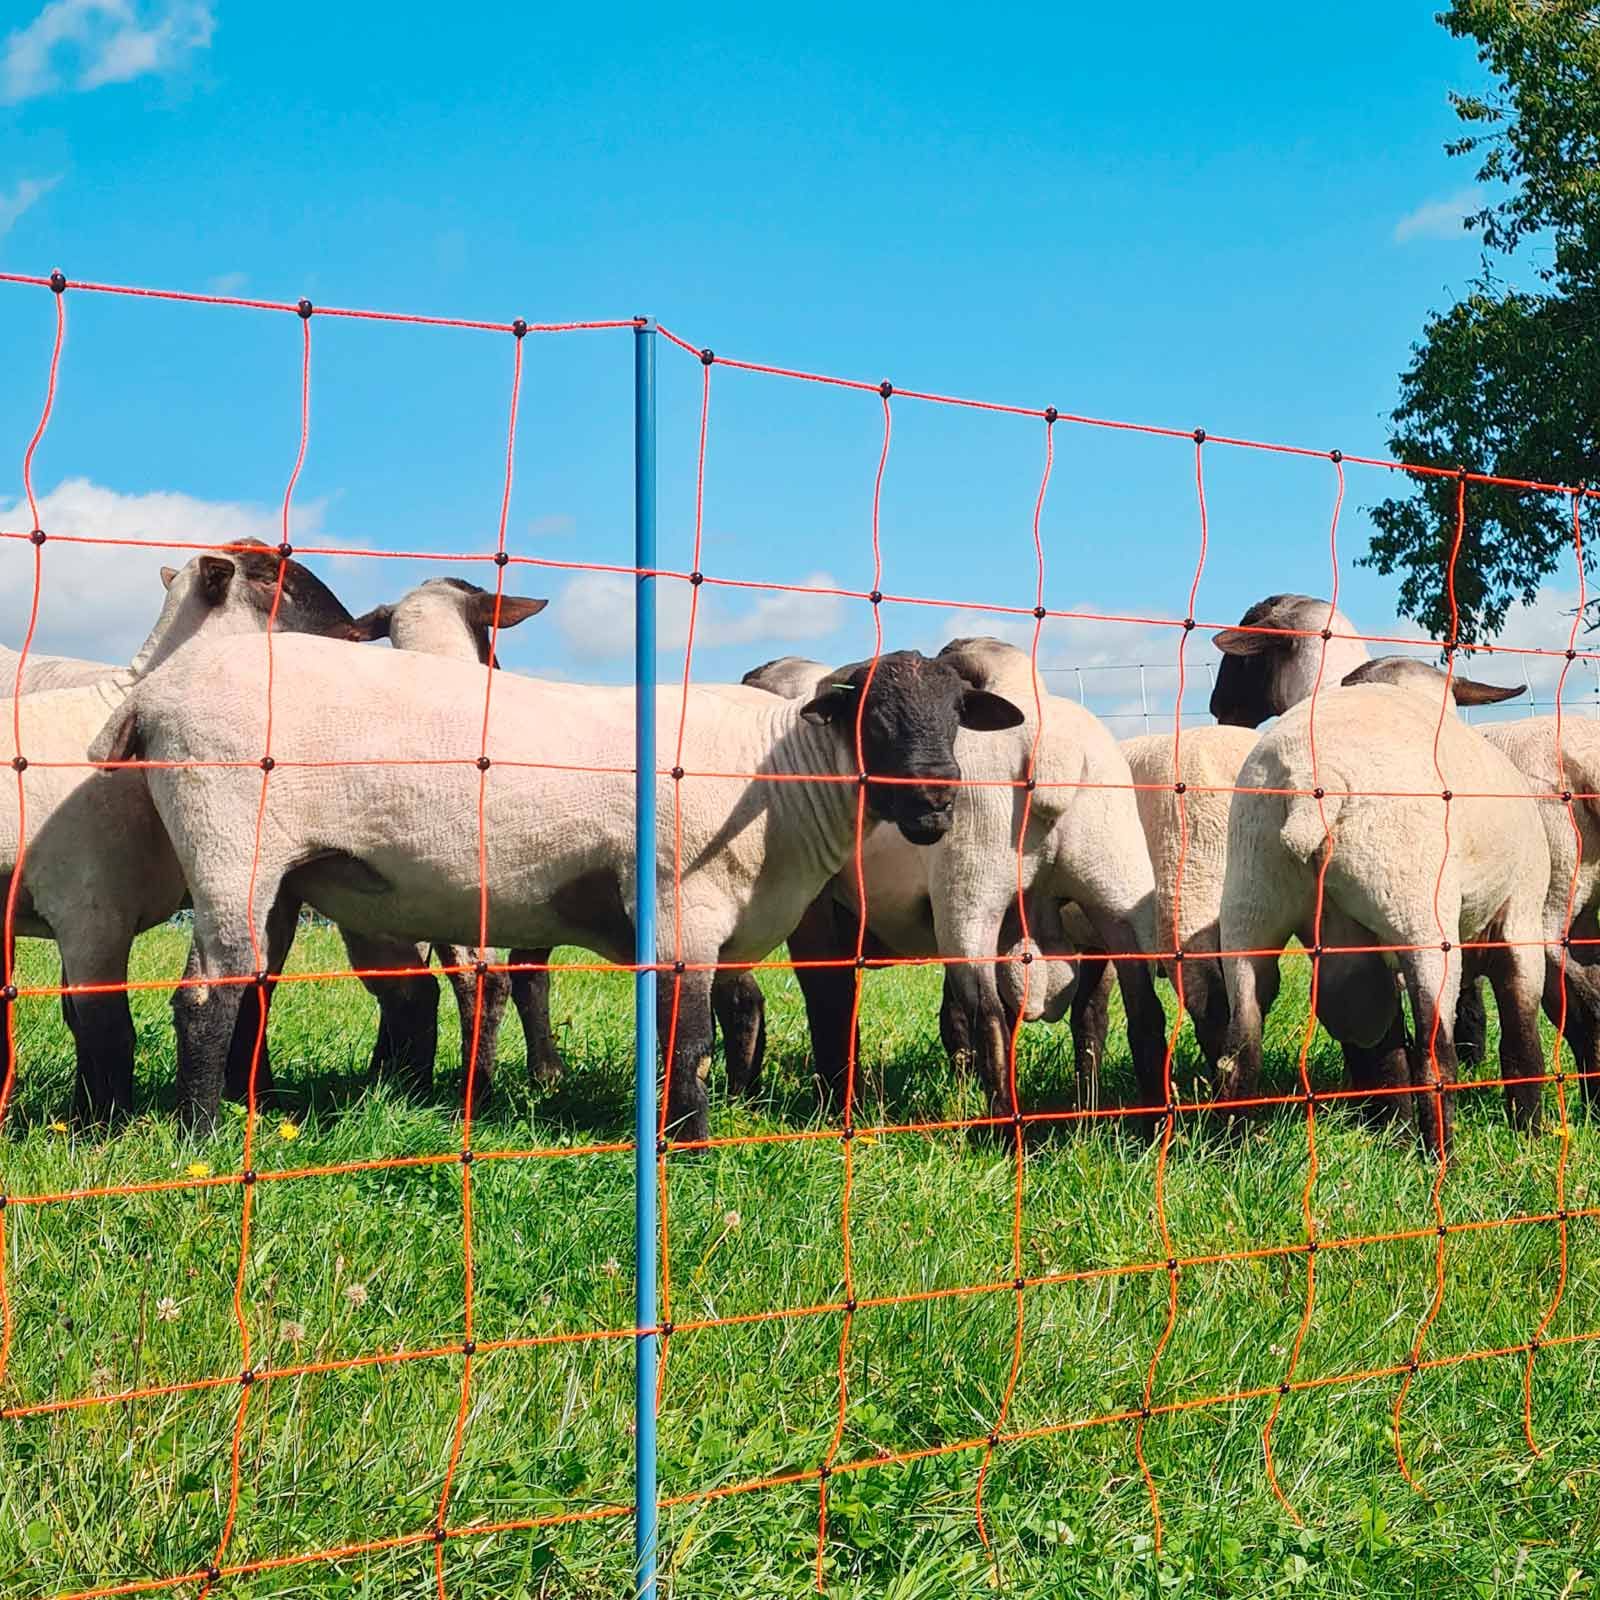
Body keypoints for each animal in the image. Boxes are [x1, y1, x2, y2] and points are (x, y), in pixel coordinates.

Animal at [0, 541, 360, 1120]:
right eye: (271, 579)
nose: (358, 634)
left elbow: (83, 1024)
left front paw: (85, 1118)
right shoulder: (90, 909)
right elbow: (107, 1030)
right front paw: (102, 1129)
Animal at [92, 641, 1026, 1139]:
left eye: (955, 714)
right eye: (870, 715)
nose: (938, 802)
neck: (784, 776)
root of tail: (153, 696)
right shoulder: (683, 908)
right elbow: (689, 1040)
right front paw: (690, 1142)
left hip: (275, 876)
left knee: (247, 986)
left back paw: (240, 1110)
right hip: (228, 843)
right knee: (204, 998)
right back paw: (205, 1134)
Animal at [1218, 656, 1547, 1155]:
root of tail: (1311, 782)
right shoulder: (1521, 915)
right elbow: (1521, 1035)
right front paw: (1531, 1131)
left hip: (1251, 902)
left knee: (1245, 1045)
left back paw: (1237, 1151)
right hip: (1418, 913)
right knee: (1434, 1053)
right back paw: (1441, 1156)